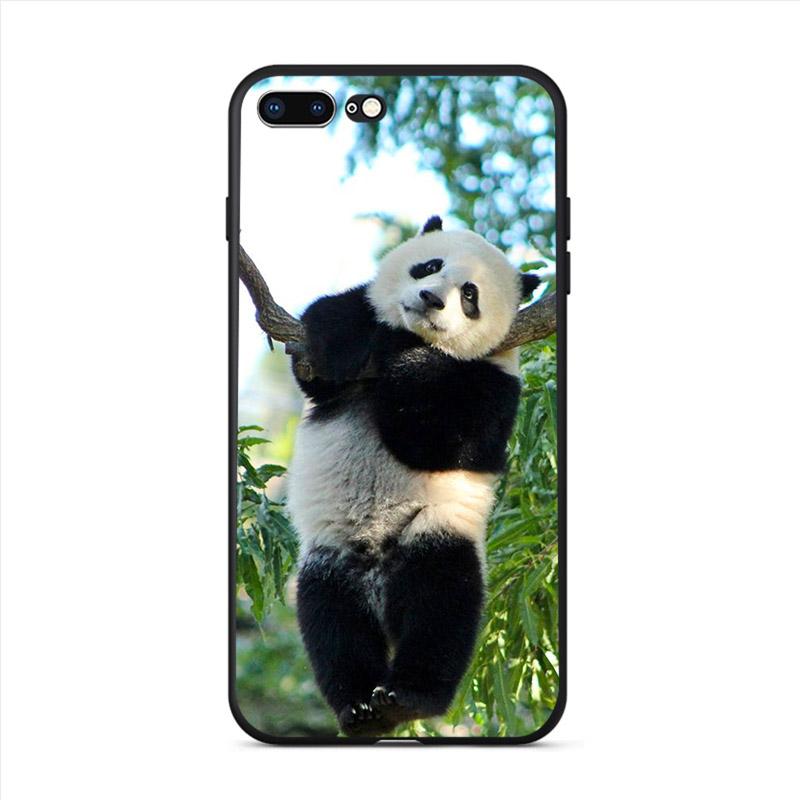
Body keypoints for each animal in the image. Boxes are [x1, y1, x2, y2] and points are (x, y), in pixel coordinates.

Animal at [286, 216, 540, 736]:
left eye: (470, 295)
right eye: (428, 265)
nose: (430, 299)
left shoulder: (495, 384)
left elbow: (439, 439)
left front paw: (413, 358)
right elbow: (322, 355)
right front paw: (350, 334)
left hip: (435, 531)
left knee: (441, 602)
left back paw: (409, 698)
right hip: (333, 558)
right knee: (331, 623)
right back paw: (360, 708)